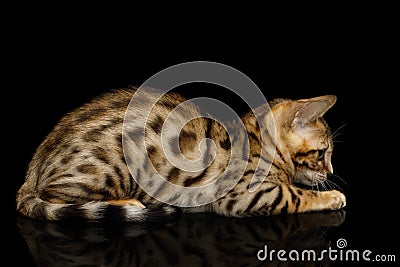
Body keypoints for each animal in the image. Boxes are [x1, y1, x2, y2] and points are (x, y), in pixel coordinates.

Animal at [16, 87, 346, 222]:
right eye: (323, 153)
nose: (330, 172)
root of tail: (31, 172)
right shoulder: (245, 194)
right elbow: (295, 194)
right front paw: (332, 196)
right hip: (110, 166)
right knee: (54, 197)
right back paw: (127, 202)